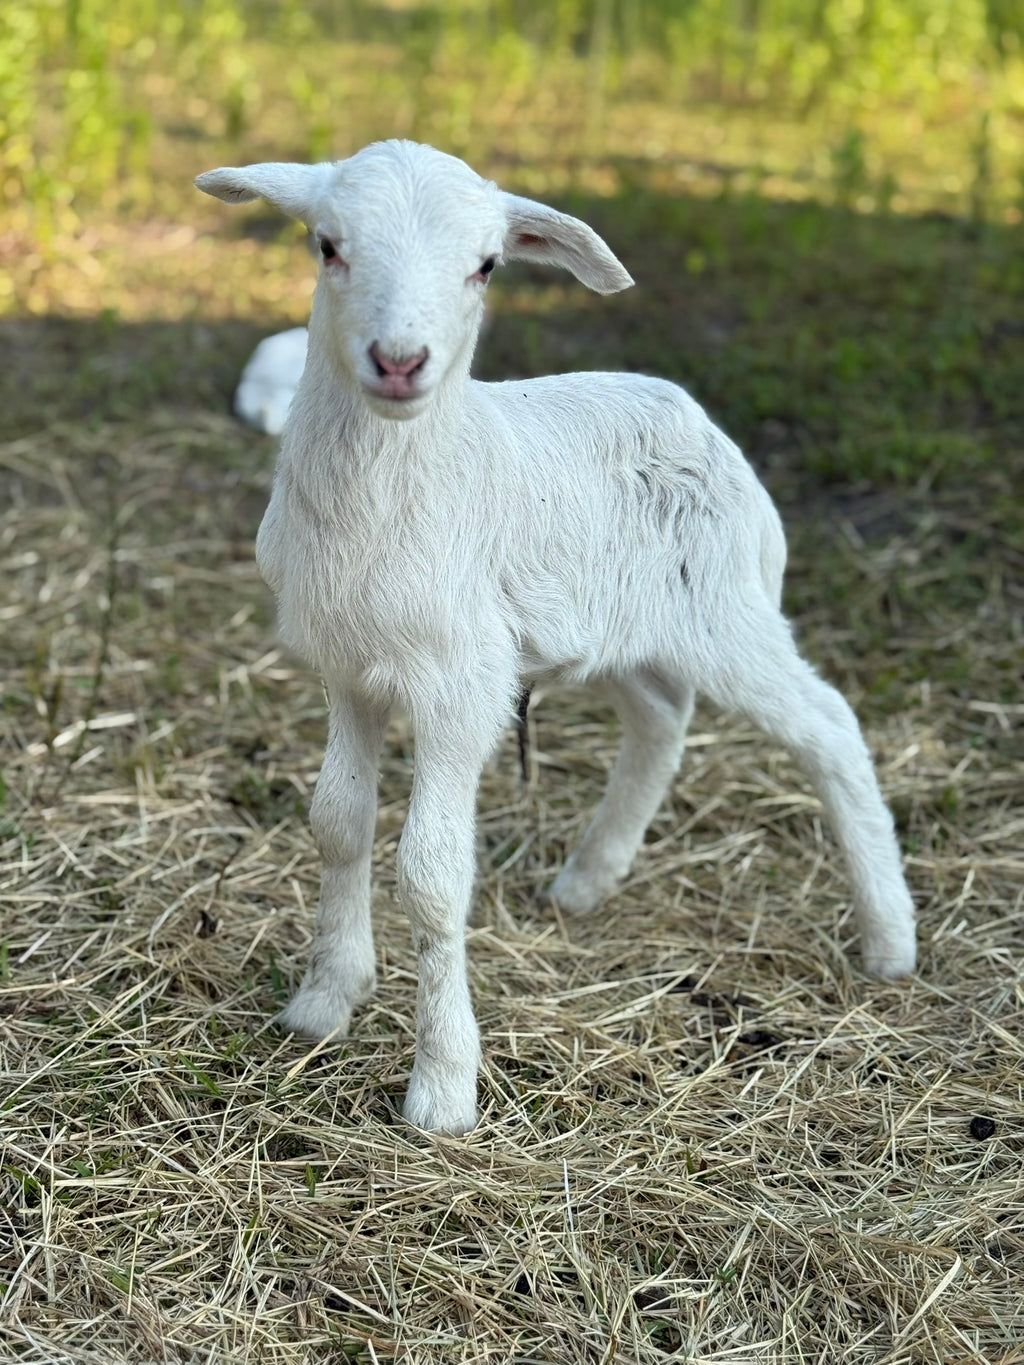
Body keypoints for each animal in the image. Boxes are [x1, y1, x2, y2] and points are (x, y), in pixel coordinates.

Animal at [196, 139, 916, 1135]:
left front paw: (443, 1088)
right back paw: (588, 879)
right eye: (327, 245)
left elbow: (431, 872)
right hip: (620, 633)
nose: (399, 361)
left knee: (830, 724)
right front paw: (322, 1002)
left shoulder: (462, 684)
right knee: (660, 719)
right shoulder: (350, 669)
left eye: (487, 265)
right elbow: (337, 822)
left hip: (728, 609)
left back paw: (889, 939)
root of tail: (695, 413)